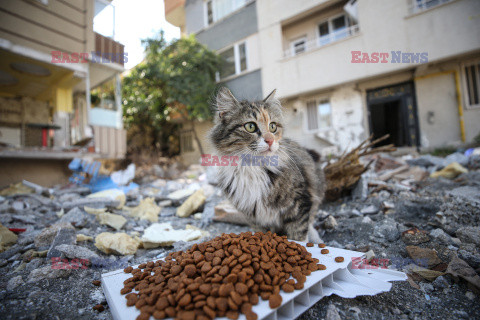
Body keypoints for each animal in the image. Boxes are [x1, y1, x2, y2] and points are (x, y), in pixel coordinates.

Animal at [210, 86, 326, 241]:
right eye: (250, 126)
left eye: (272, 127)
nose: (270, 140)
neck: (252, 168)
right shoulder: (254, 217)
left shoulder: (300, 202)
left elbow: (300, 234)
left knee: (311, 220)